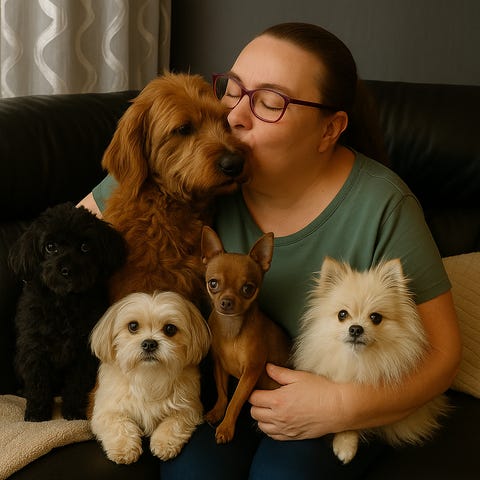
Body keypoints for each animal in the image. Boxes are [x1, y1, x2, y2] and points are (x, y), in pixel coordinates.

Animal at [8, 202, 126, 421]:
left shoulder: (83, 352)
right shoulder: (34, 347)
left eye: (85, 246)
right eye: (50, 246)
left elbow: (77, 384)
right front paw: (37, 413)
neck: (64, 302)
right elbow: (37, 382)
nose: (67, 270)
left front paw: (73, 412)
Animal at [89, 290, 211, 464]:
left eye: (170, 329)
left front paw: (164, 443)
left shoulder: (188, 408)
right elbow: (119, 425)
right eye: (133, 326)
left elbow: (173, 423)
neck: (148, 375)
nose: (149, 343)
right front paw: (124, 449)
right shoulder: (107, 410)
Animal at [201, 226, 292, 444]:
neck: (231, 327)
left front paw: (225, 428)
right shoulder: (219, 364)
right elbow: (223, 393)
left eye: (248, 289)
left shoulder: (251, 372)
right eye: (213, 283)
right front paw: (217, 412)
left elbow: (235, 401)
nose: (226, 301)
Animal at [292, 256, 449, 464]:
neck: (355, 359)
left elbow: (349, 415)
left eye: (376, 317)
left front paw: (345, 444)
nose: (355, 329)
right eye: (342, 314)